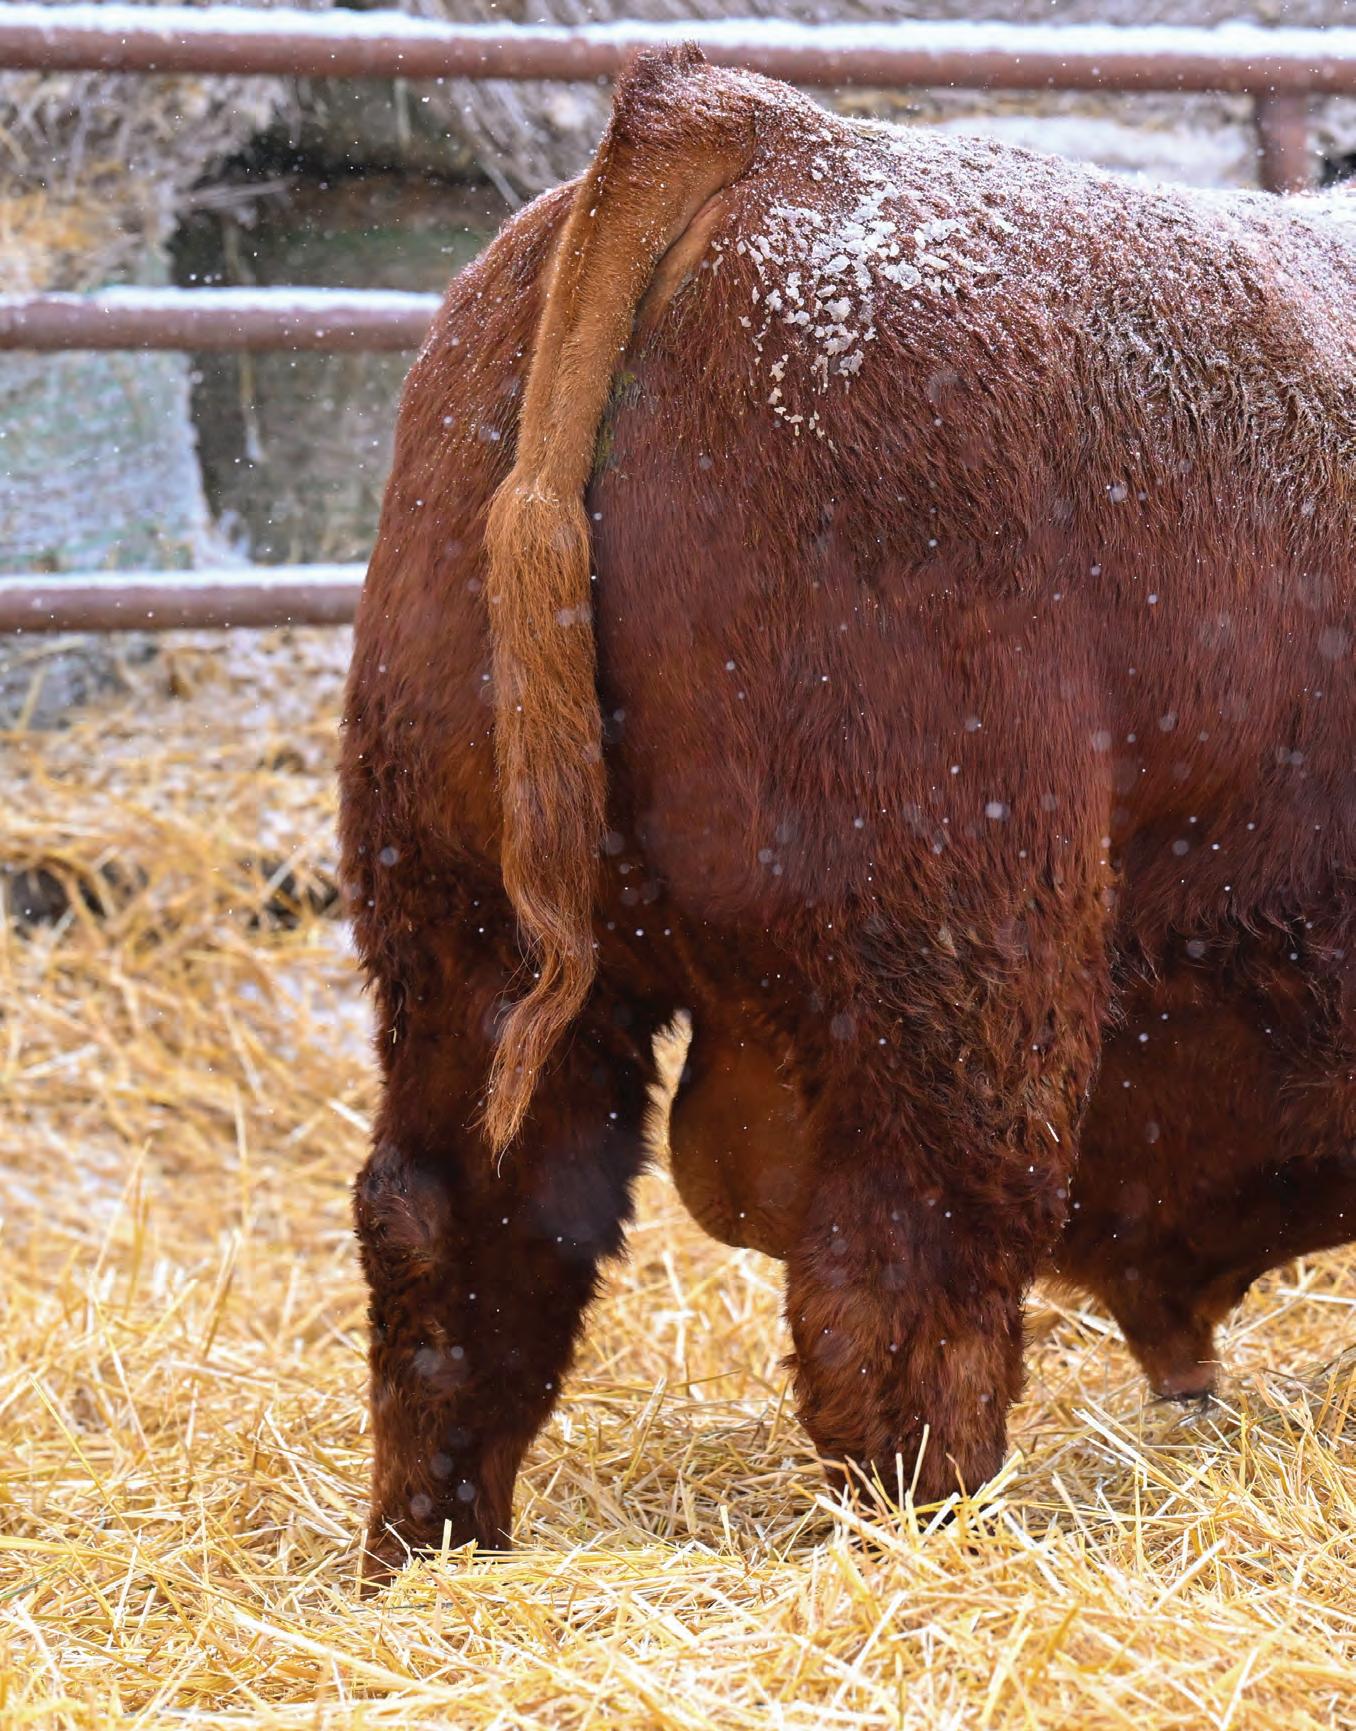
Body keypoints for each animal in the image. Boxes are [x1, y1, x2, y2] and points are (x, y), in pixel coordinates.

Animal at [339, 46, 1356, 1578]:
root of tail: (757, 133)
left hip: (463, 941)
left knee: (457, 1235)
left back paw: (432, 1556)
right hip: (959, 983)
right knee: (904, 1283)